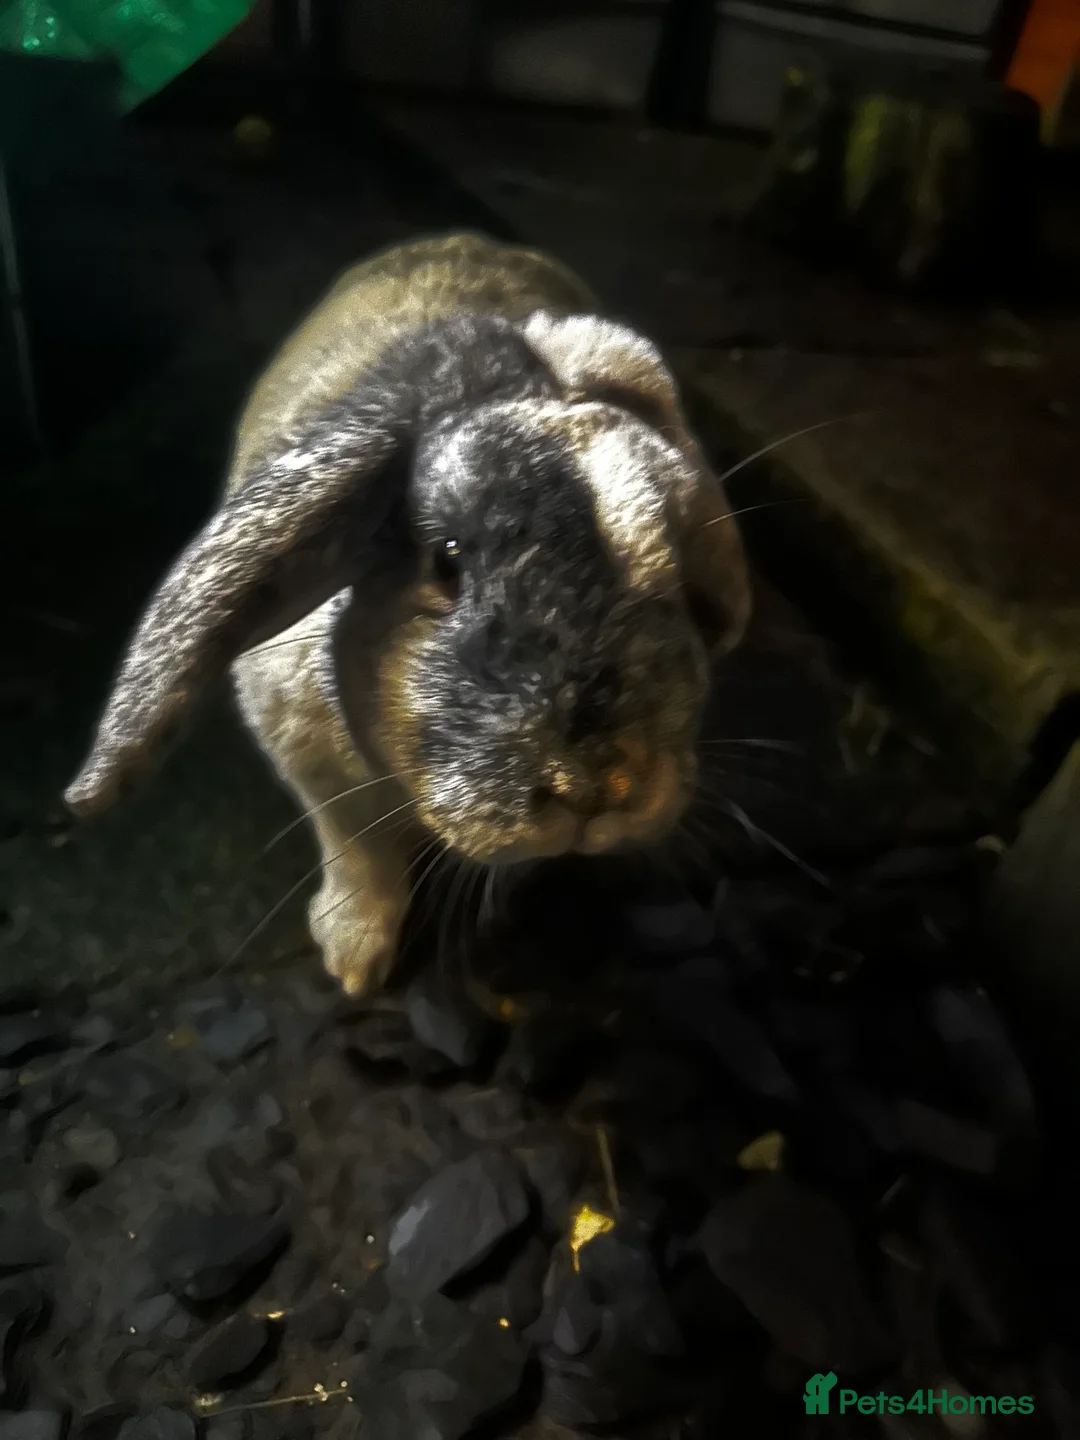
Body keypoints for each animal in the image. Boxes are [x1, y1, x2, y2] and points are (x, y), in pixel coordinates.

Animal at [64, 232, 752, 996]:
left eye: (679, 568)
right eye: (446, 562)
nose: (600, 788)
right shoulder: (320, 779)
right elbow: (359, 854)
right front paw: (354, 963)